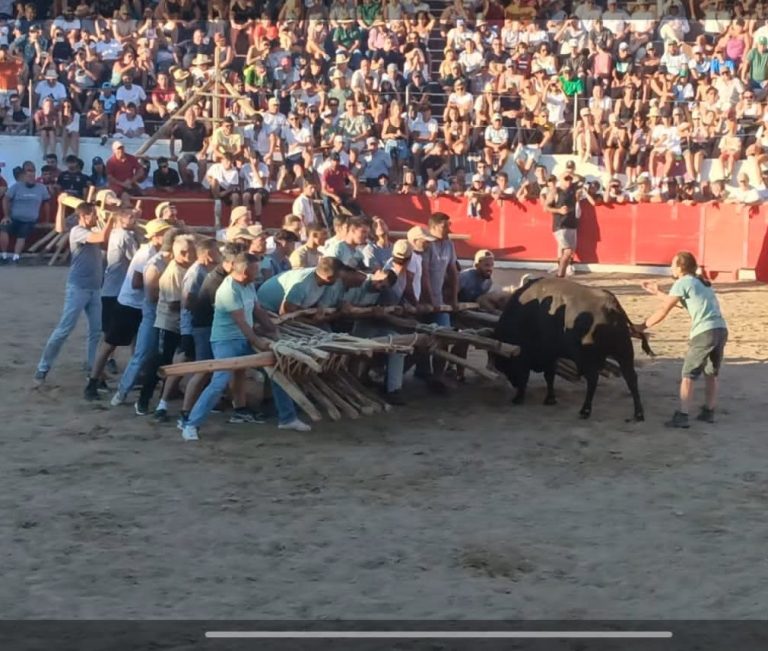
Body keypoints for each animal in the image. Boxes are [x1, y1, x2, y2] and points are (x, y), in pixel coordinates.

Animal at [492, 276, 656, 420]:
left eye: (506, 364)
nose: (513, 384)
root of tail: (611, 305)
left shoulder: (536, 355)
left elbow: (535, 375)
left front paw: (520, 398)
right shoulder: (550, 355)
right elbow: (549, 375)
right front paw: (550, 399)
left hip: (588, 357)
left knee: (593, 379)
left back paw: (585, 411)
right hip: (624, 352)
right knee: (631, 378)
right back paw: (638, 414)